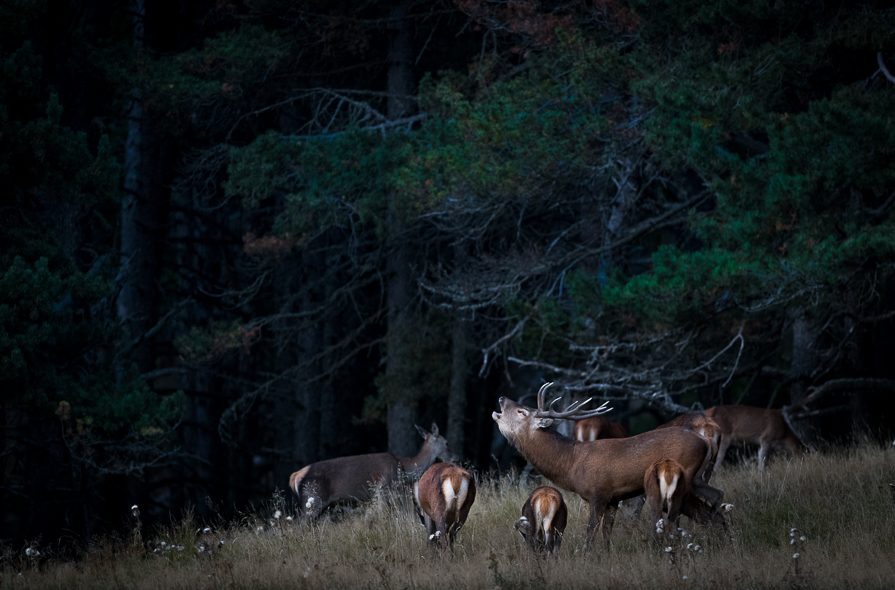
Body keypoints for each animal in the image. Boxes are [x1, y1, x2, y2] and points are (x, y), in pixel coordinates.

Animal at [288, 424, 456, 520]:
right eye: (447, 443)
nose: (456, 457)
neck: (403, 468)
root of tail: (295, 476)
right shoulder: (384, 490)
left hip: (320, 507)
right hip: (313, 501)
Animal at [494, 384, 724, 552]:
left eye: (522, 411)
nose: (501, 398)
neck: (572, 463)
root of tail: (706, 440)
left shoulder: (599, 493)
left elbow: (591, 531)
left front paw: (586, 555)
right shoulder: (614, 499)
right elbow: (606, 532)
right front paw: (606, 553)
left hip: (683, 479)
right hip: (697, 478)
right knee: (714, 499)